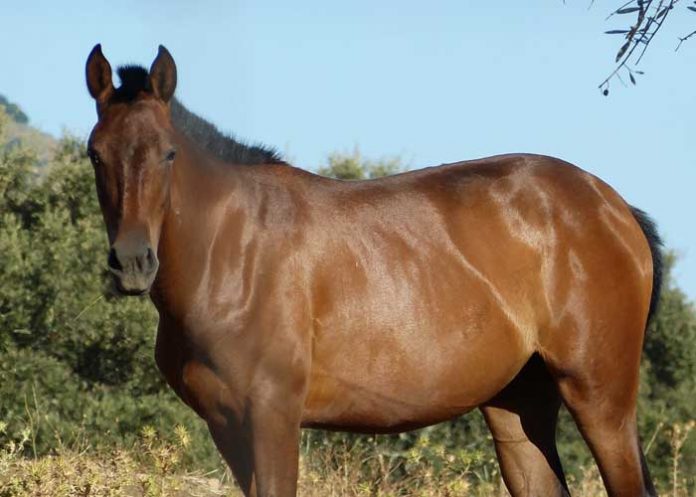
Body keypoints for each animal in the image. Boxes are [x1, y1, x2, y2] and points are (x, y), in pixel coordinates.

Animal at [85, 44, 662, 497]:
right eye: (96, 154)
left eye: (168, 154)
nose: (133, 262)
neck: (230, 253)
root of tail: (611, 205)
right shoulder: (228, 427)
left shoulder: (271, 417)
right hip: (518, 404)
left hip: (600, 396)